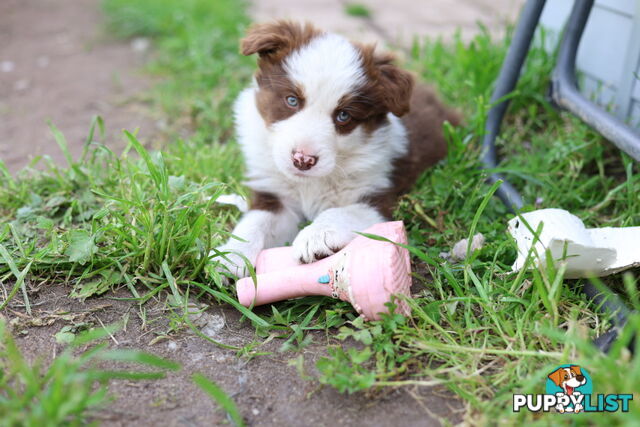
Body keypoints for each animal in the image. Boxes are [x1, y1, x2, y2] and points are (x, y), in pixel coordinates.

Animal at [215, 21, 460, 280]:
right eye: (292, 100)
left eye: (343, 115)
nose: (302, 160)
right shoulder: (275, 195)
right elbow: (255, 222)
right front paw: (231, 256)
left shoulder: (377, 197)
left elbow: (342, 212)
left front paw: (316, 236)